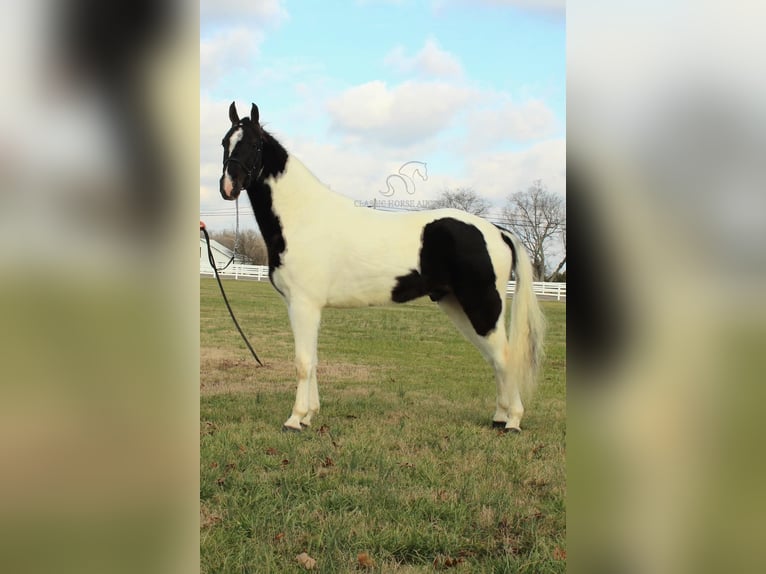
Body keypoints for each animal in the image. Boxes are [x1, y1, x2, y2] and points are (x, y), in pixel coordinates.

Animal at [220, 102, 544, 432]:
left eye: (255, 145)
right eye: (224, 143)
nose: (228, 186)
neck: (302, 216)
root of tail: (496, 231)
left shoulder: (304, 304)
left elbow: (303, 363)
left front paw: (296, 419)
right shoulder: (303, 306)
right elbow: (313, 361)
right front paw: (310, 415)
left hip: (482, 305)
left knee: (504, 357)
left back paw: (513, 421)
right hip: (458, 306)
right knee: (495, 359)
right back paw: (499, 417)